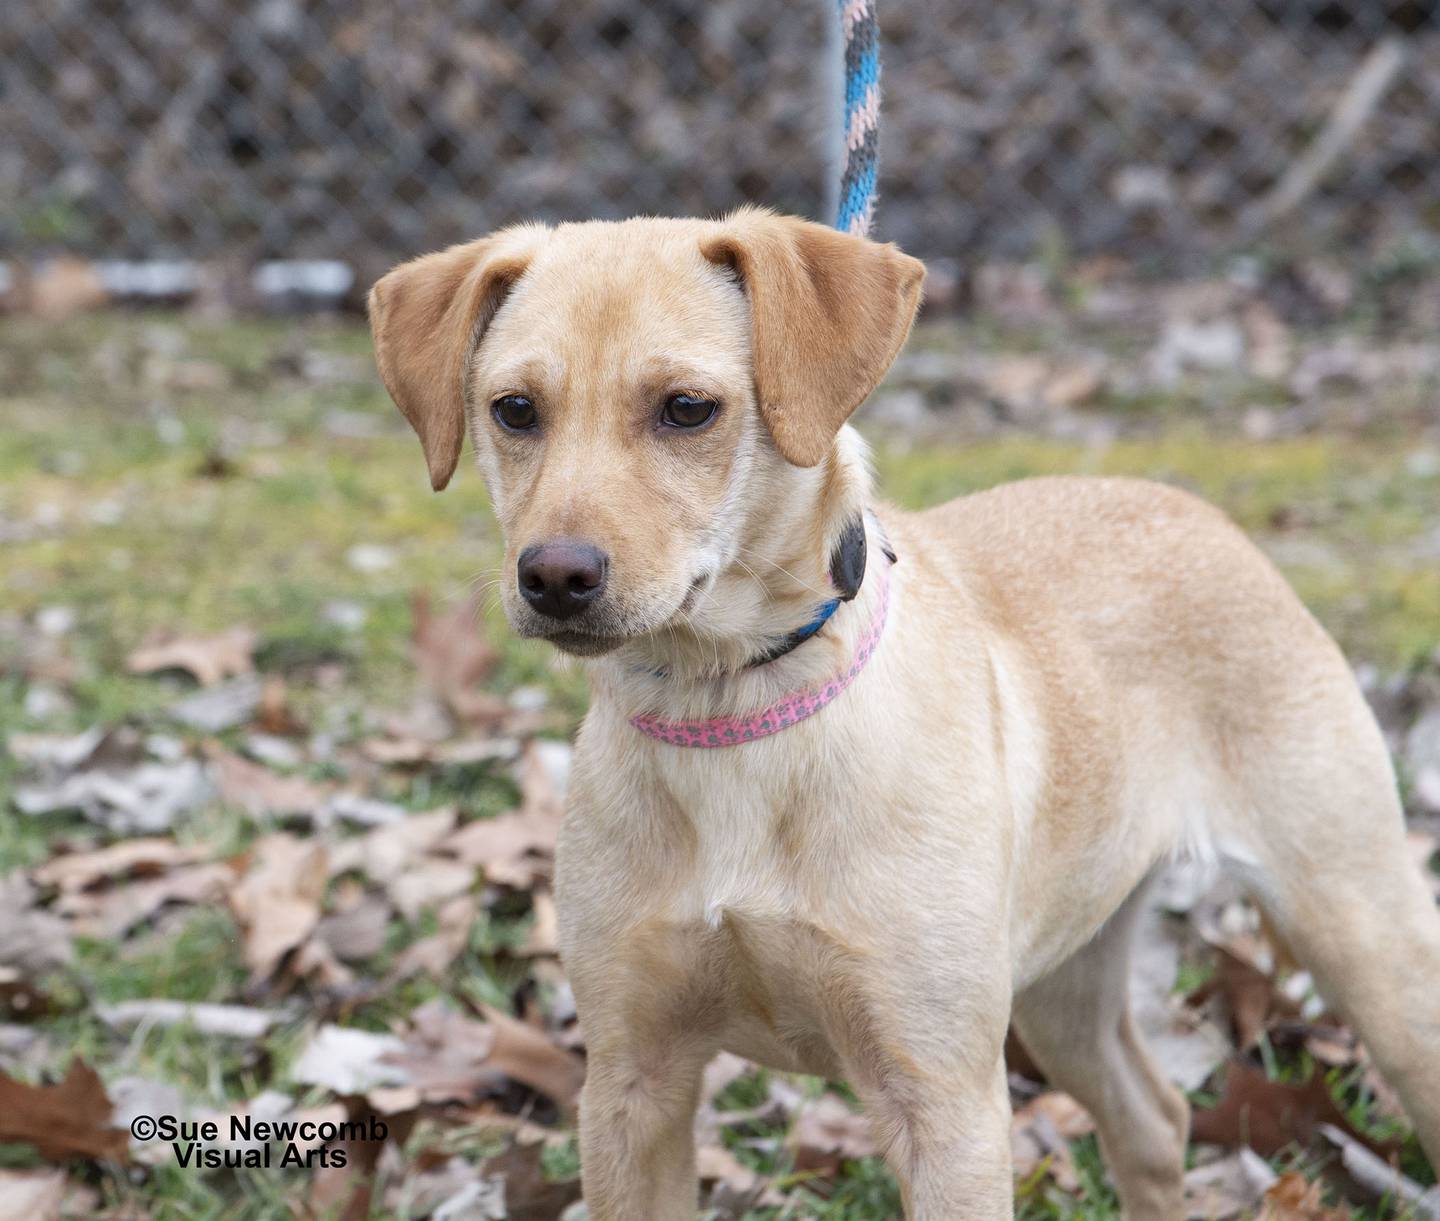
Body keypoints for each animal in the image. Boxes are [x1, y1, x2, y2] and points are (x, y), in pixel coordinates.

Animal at [371, 204, 1440, 1215]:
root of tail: (1202, 513)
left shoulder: (947, 1105)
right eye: (514, 410)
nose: (554, 576)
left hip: (1362, 935)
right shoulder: (631, 1088)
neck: (733, 709)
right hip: (1063, 982)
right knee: (1154, 1116)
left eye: (686, 409)